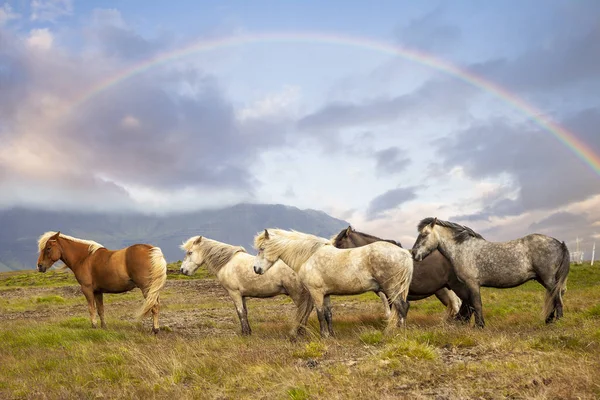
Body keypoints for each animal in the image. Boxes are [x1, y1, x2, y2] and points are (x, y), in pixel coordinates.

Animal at [36, 230, 168, 332]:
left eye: (48, 248)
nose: (40, 266)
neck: (84, 258)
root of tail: (152, 250)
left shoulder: (87, 289)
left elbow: (91, 308)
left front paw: (94, 326)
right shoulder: (98, 291)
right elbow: (100, 310)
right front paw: (103, 327)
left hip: (147, 288)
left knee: (154, 306)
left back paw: (155, 330)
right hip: (153, 289)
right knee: (156, 305)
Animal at [178, 236, 312, 336]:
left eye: (190, 252)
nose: (182, 270)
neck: (227, 263)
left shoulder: (234, 293)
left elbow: (240, 313)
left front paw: (245, 333)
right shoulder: (242, 295)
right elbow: (245, 312)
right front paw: (248, 331)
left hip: (296, 293)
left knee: (302, 310)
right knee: (308, 309)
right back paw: (302, 331)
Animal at [252, 228, 412, 338]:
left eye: (262, 248)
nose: (256, 269)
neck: (309, 256)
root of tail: (405, 253)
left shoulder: (316, 293)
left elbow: (320, 314)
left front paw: (323, 336)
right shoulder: (326, 293)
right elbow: (328, 314)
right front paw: (331, 335)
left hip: (391, 288)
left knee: (402, 307)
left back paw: (400, 333)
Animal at [412, 219, 572, 328]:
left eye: (424, 234)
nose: (414, 254)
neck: (464, 249)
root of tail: (559, 243)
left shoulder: (472, 283)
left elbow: (476, 303)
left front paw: (479, 326)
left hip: (549, 279)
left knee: (557, 298)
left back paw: (557, 322)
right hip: (544, 280)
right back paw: (549, 321)